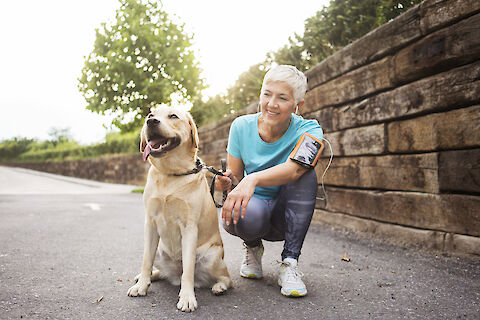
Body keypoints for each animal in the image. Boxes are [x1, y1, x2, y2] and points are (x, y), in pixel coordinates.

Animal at [127, 105, 232, 312]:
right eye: (150, 115)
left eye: (173, 116)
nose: (150, 122)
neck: (170, 174)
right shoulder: (150, 224)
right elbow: (145, 261)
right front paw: (141, 285)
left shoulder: (189, 227)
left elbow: (188, 270)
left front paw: (187, 297)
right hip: (159, 250)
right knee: (158, 268)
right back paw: (149, 277)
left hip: (212, 256)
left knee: (226, 278)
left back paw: (219, 287)